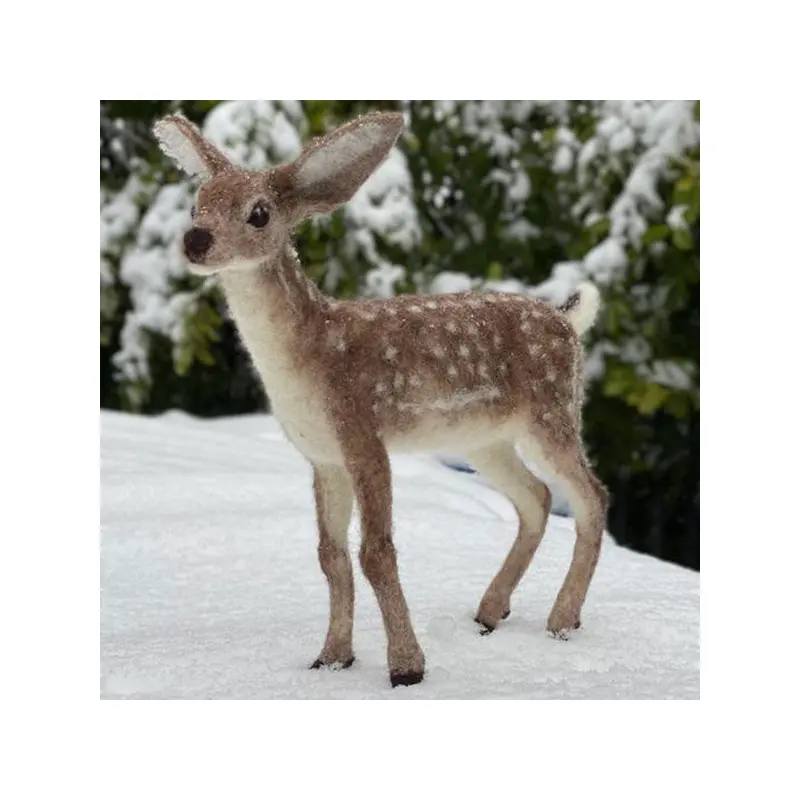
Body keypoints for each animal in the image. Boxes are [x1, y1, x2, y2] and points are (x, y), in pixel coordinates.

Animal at [153, 109, 608, 688]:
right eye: (196, 203)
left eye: (258, 213)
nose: (195, 238)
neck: (312, 355)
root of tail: (567, 321)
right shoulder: (323, 456)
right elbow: (331, 556)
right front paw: (330, 658)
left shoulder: (363, 433)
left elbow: (375, 552)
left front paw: (407, 669)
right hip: (485, 439)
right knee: (538, 498)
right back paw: (489, 613)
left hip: (552, 411)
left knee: (592, 496)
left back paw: (562, 620)